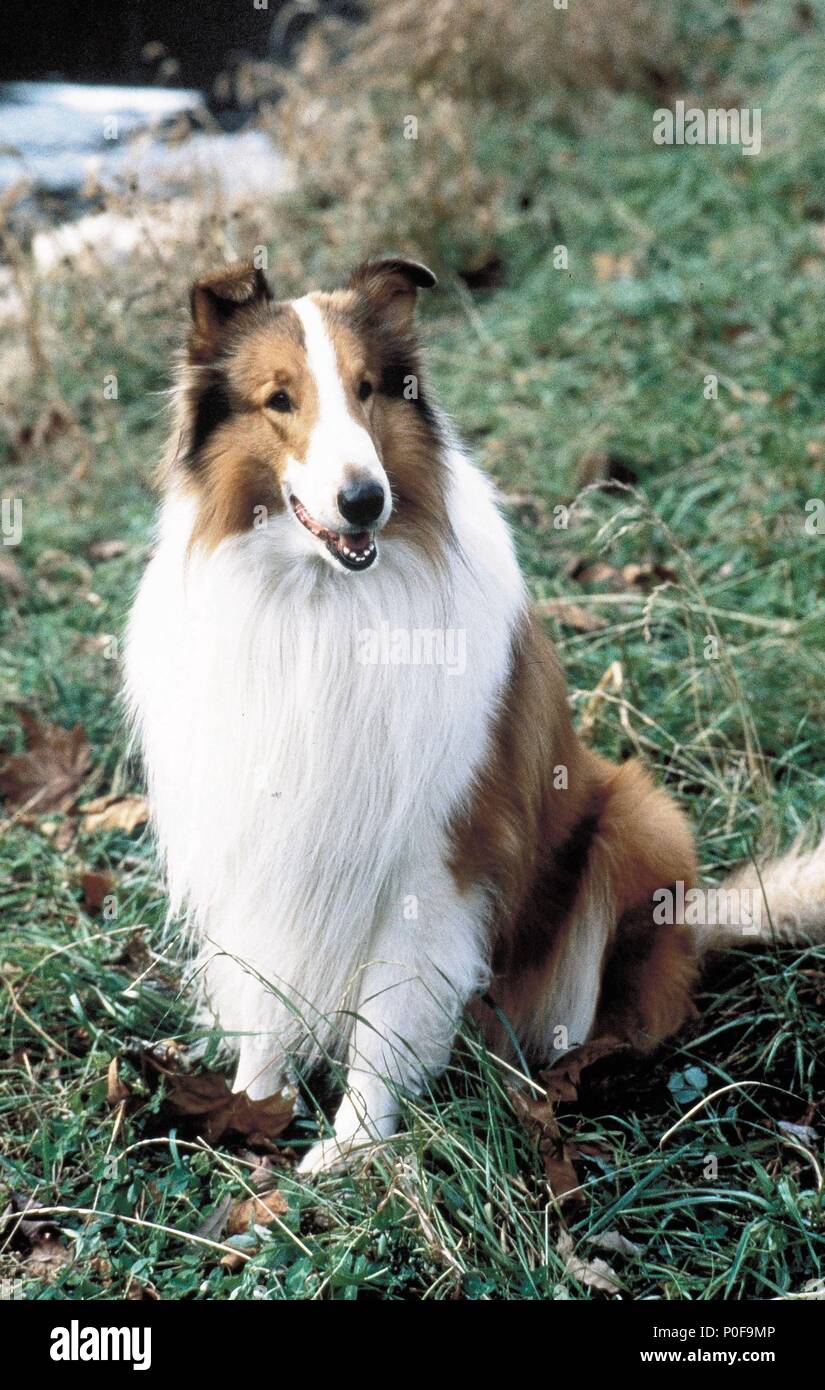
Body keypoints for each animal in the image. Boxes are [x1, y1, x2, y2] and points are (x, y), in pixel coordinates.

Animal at [124, 258, 822, 1173]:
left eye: (368, 389)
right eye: (279, 398)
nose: (364, 501)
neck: (321, 602)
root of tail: (697, 928)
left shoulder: (431, 860)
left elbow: (384, 1020)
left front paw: (349, 1150)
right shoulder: (259, 839)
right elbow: (266, 999)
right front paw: (252, 1108)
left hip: (638, 819)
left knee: (626, 1014)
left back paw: (569, 1075)